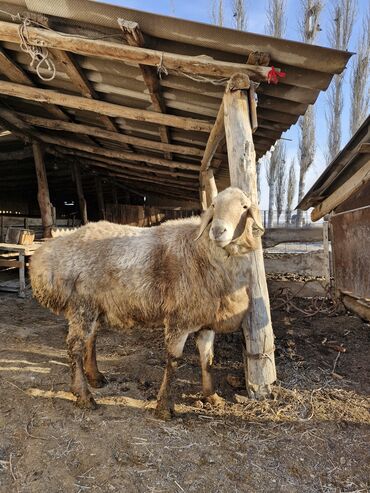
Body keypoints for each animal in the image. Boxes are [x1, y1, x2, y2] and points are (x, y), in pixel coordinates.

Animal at [30, 186, 264, 418]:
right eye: (214, 205)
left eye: (244, 207)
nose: (217, 231)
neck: (202, 251)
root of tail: (45, 255)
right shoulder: (178, 318)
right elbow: (173, 361)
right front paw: (164, 407)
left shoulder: (205, 320)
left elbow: (207, 359)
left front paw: (212, 396)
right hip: (81, 305)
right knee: (74, 347)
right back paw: (84, 395)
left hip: (94, 305)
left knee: (90, 339)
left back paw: (95, 377)